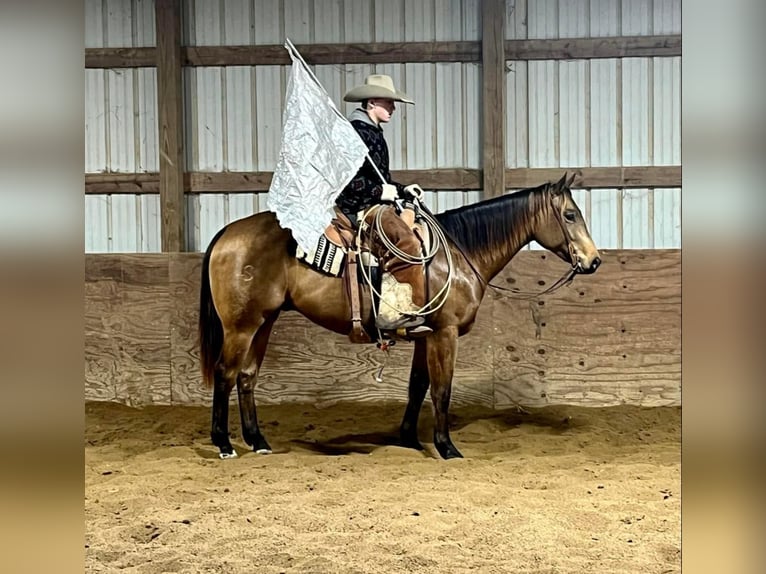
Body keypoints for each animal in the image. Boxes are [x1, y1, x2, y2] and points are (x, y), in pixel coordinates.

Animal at [200, 173, 608, 462]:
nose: (594, 260)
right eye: (570, 215)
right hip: (241, 326)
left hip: (264, 322)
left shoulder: (425, 334)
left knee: (247, 376)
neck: (458, 254)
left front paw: (410, 439)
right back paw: (224, 443)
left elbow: (417, 386)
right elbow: (442, 389)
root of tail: (228, 232)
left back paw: (258, 441)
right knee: (225, 373)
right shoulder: (445, 333)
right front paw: (446, 447)